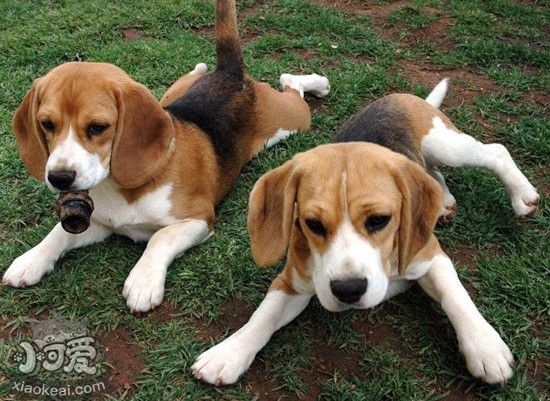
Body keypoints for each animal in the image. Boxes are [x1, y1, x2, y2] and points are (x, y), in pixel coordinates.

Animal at [3, 0, 332, 312]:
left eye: (97, 127)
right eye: (47, 124)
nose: (59, 178)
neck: (119, 186)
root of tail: (230, 74)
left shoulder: (199, 219)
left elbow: (159, 238)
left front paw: (143, 281)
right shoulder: (100, 224)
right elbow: (59, 233)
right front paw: (31, 260)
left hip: (291, 120)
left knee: (292, 85)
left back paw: (317, 82)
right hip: (171, 96)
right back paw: (200, 67)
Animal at [195, 79, 544, 384]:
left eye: (379, 220)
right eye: (313, 224)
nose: (348, 290)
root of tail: (402, 97)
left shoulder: (430, 255)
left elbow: (454, 294)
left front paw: (485, 347)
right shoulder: (291, 281)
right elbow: (262, 317)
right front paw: (229, 353)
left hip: (446, 145)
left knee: (494, 151)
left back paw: (522, 195)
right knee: (432, 175)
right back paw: (443, 202)